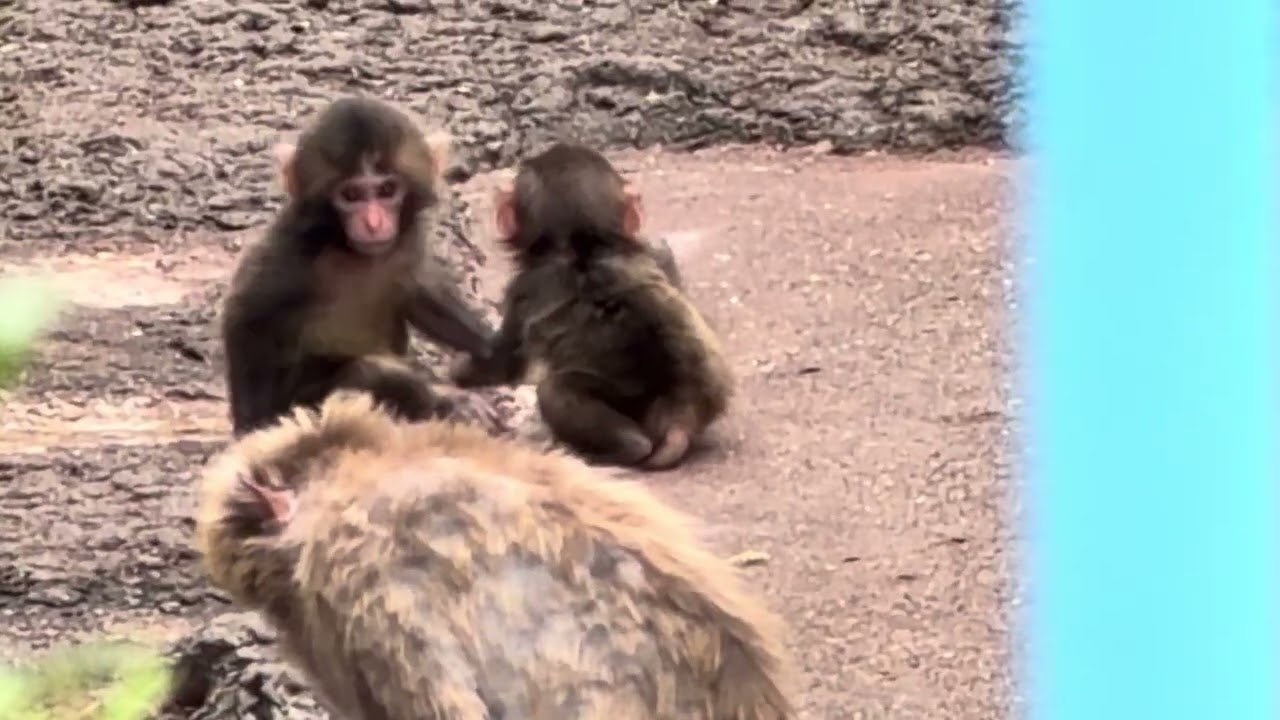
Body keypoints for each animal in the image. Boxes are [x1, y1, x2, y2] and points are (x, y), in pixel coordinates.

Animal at [219, 95, 495, 437]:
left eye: (387, 190)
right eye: (351, 195)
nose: (373, 222)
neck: (352, 252)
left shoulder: (407, 242)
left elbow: (421, 293)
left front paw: (493, 348)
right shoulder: (295, 248)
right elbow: (248, 316)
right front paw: (254, 423)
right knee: (369, 372)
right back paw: (445, 403)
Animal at [449, 142, 734, 470]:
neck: (583, 245)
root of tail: (680, 420)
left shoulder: (523, 290)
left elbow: (500, 361)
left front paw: (457, 371)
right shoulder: (657, 251)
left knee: (554, 391)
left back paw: (620, 448)